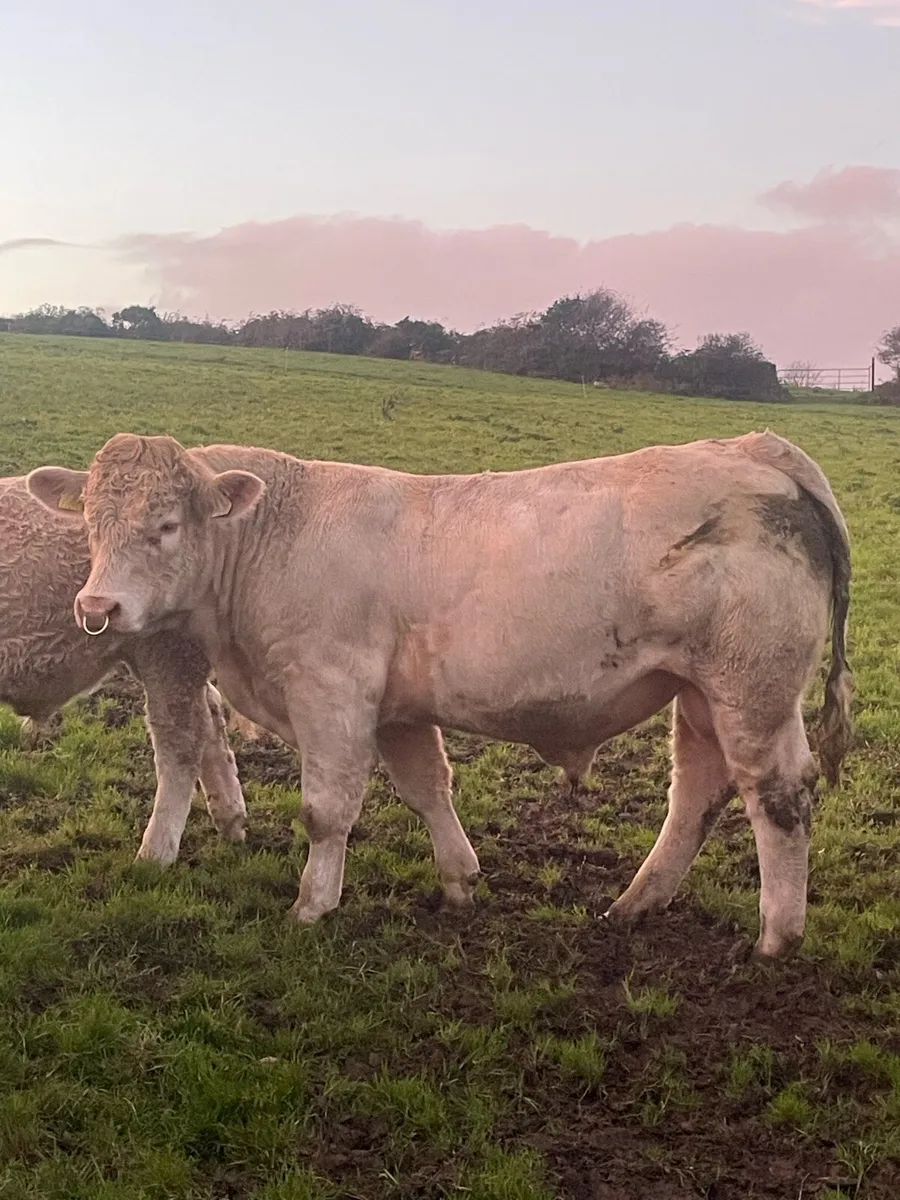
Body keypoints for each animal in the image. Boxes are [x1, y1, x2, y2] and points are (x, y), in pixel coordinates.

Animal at [27, 429, 852, 960]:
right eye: (91, 523)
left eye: (167, 525)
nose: (98, 607)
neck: (270, 538)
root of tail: (753, 447)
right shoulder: (395, 710)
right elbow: (427, 788)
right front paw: (459, 883)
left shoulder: (331, 693)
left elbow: (326, 812)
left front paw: (312, 905)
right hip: (702, 694)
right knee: (698, 794)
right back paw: (634, 904)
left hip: (751, 689)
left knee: (778, 796)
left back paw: (776, 937)